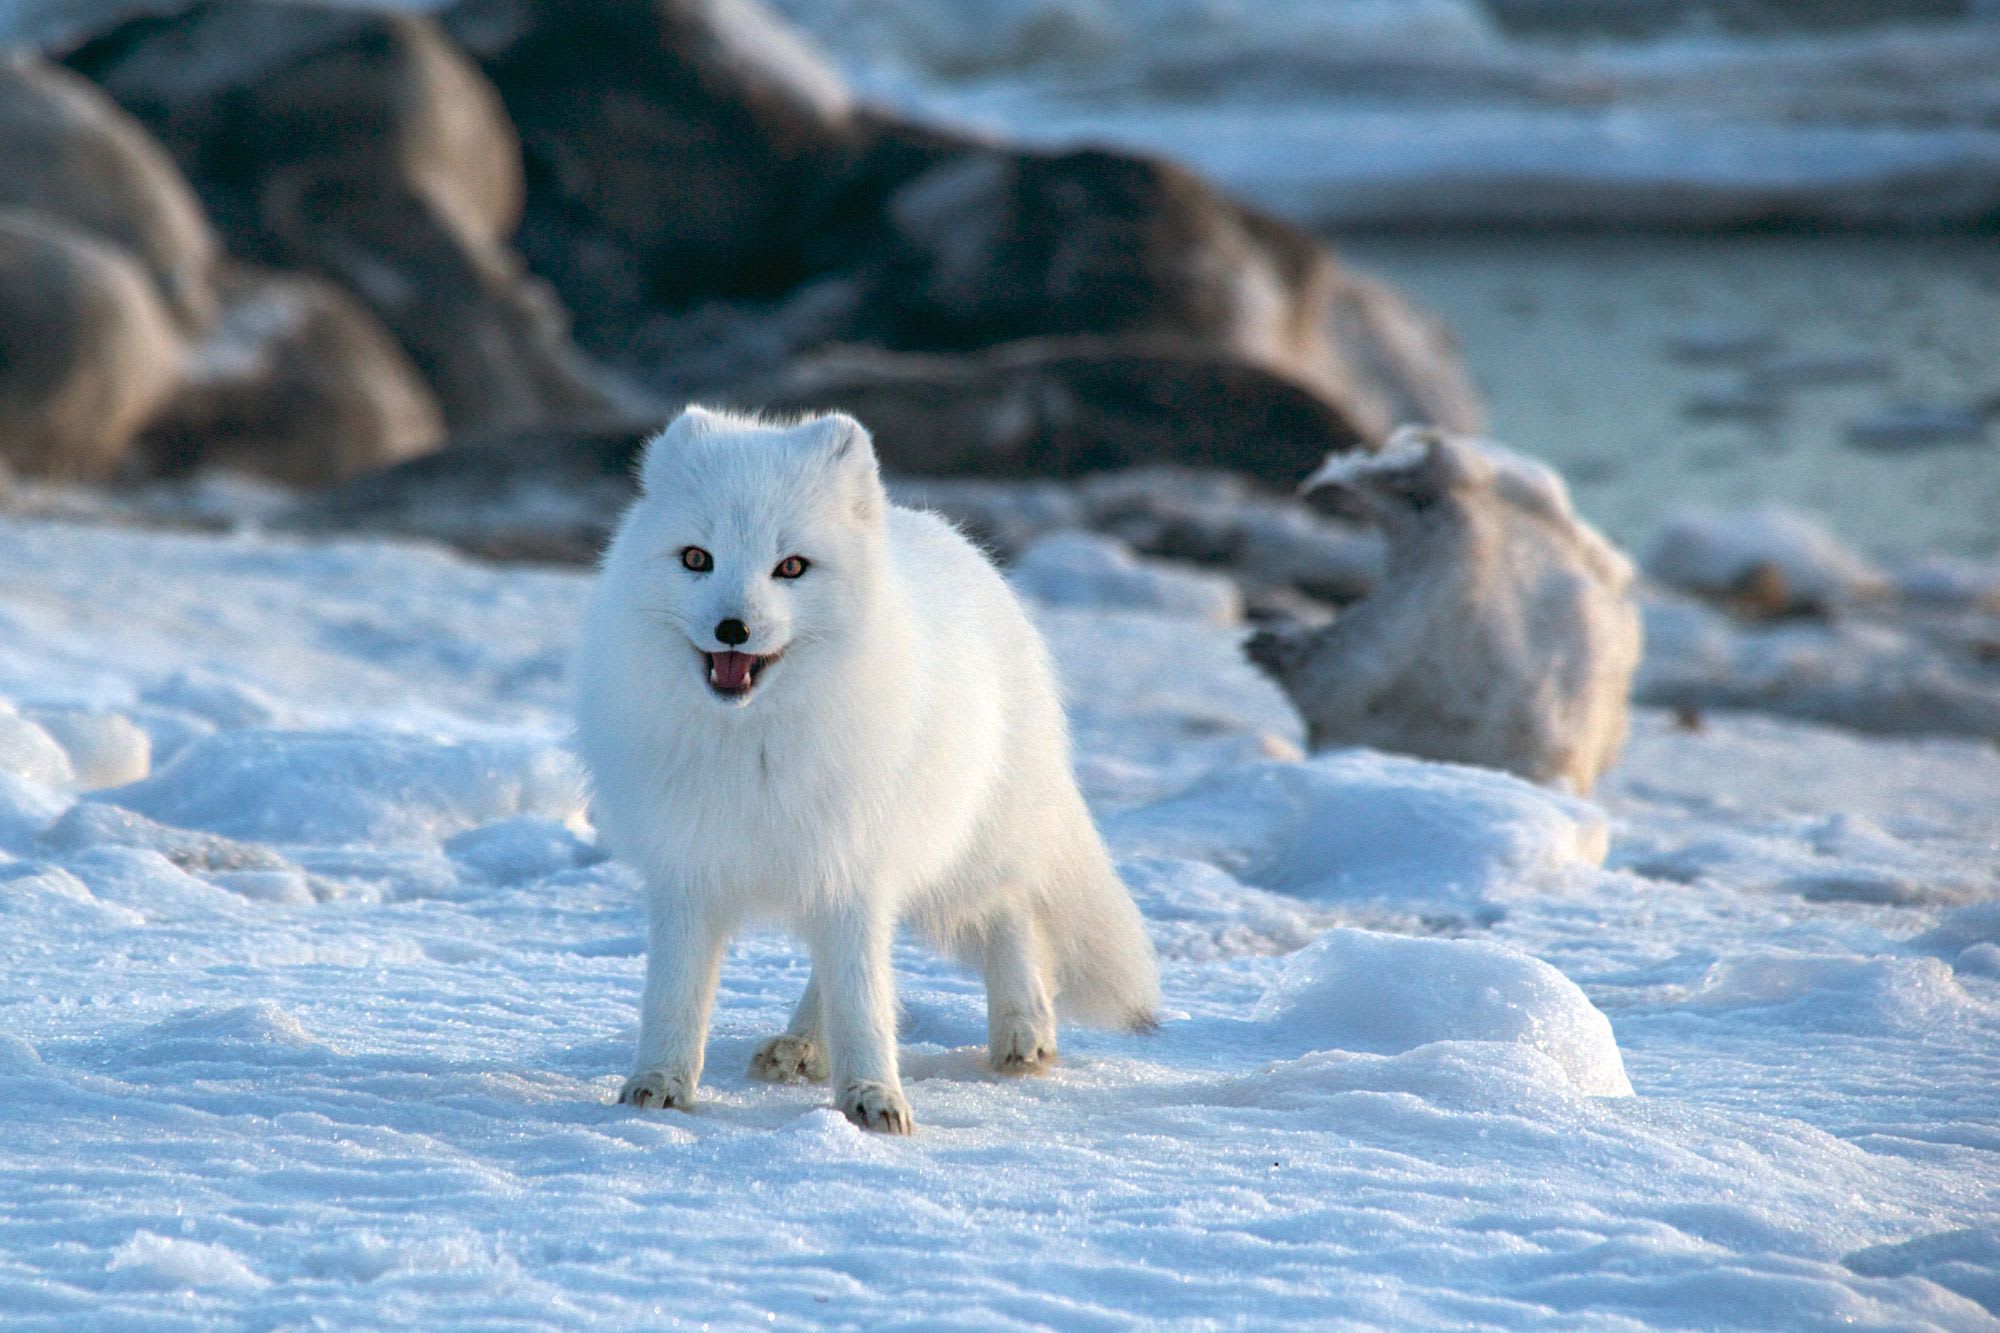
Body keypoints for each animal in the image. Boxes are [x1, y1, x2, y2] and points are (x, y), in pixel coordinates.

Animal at [572, 405, 1158, 1133]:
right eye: (696, 558)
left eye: (791, 566)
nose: (733, 627)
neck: (754, 743)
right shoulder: (690, 866)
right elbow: (674, 994)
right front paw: (658, 1083)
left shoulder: (855, 864)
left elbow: (864, 998)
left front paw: (875, 1096)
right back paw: (801, 1046)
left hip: (969, 847)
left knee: (1012, 908)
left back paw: (1024, 1030)